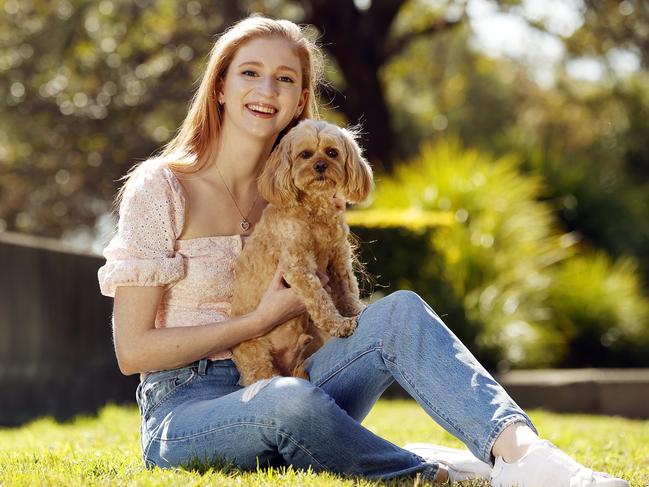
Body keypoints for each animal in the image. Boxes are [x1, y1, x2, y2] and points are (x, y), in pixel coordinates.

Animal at [230, 120, 372, 386]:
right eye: (305, 154)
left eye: (331, 152)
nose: (320, 165)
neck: (314, 211)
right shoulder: (299, 266)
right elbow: (320, 300)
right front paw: (340, 324)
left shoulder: (338, 260)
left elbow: (348, 291)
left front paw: (355, 311)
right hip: (257, 357)